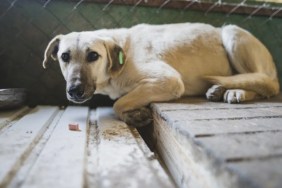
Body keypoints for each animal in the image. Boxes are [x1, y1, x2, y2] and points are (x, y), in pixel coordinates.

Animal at [42, 23, 280, 126]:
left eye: (93, 55)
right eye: (64, 56)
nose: (74, 90)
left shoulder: (169, 81)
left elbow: (118, 104)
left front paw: (133, 115)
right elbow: (121, 101)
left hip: (231, 33)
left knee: (265, 83)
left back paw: (237, 91)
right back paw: (220, 89)